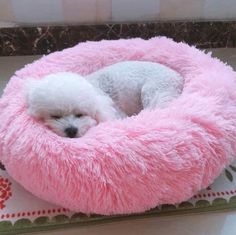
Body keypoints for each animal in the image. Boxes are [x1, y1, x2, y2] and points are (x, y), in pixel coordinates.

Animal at [26, 61, 184, 138]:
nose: (71, 130)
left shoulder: (116, 112)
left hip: (155, 91)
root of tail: (178, 77)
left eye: (80, 114)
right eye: (55, 116)